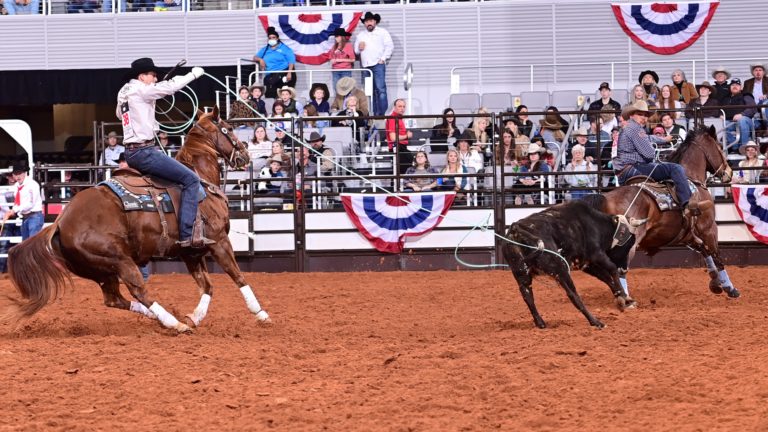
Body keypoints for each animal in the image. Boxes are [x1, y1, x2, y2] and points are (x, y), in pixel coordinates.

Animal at [5, 106, 270, 332]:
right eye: (227, 129)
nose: (245, 155)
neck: (200, 180)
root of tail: (60, 222)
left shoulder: (191, 252)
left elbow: (207, 286)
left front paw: (195, 317)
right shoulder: (219, 242)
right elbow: (238, 276)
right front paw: (261, 313)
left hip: (100, 270)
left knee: (114, 299)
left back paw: (161, 318)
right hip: (119, 260)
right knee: (138, 290)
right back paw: (174, 323)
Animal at [584, 125, 740, 304]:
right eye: (720, 147)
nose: (729, 172)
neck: (691, 179)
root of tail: (605, 199)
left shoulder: (688, 235)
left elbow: (704, 251)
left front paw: (715, 283)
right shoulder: (708, 228)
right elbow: (717, 256)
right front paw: (730, 288)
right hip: (626, 244)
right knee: (618, 269)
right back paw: (626, 299)